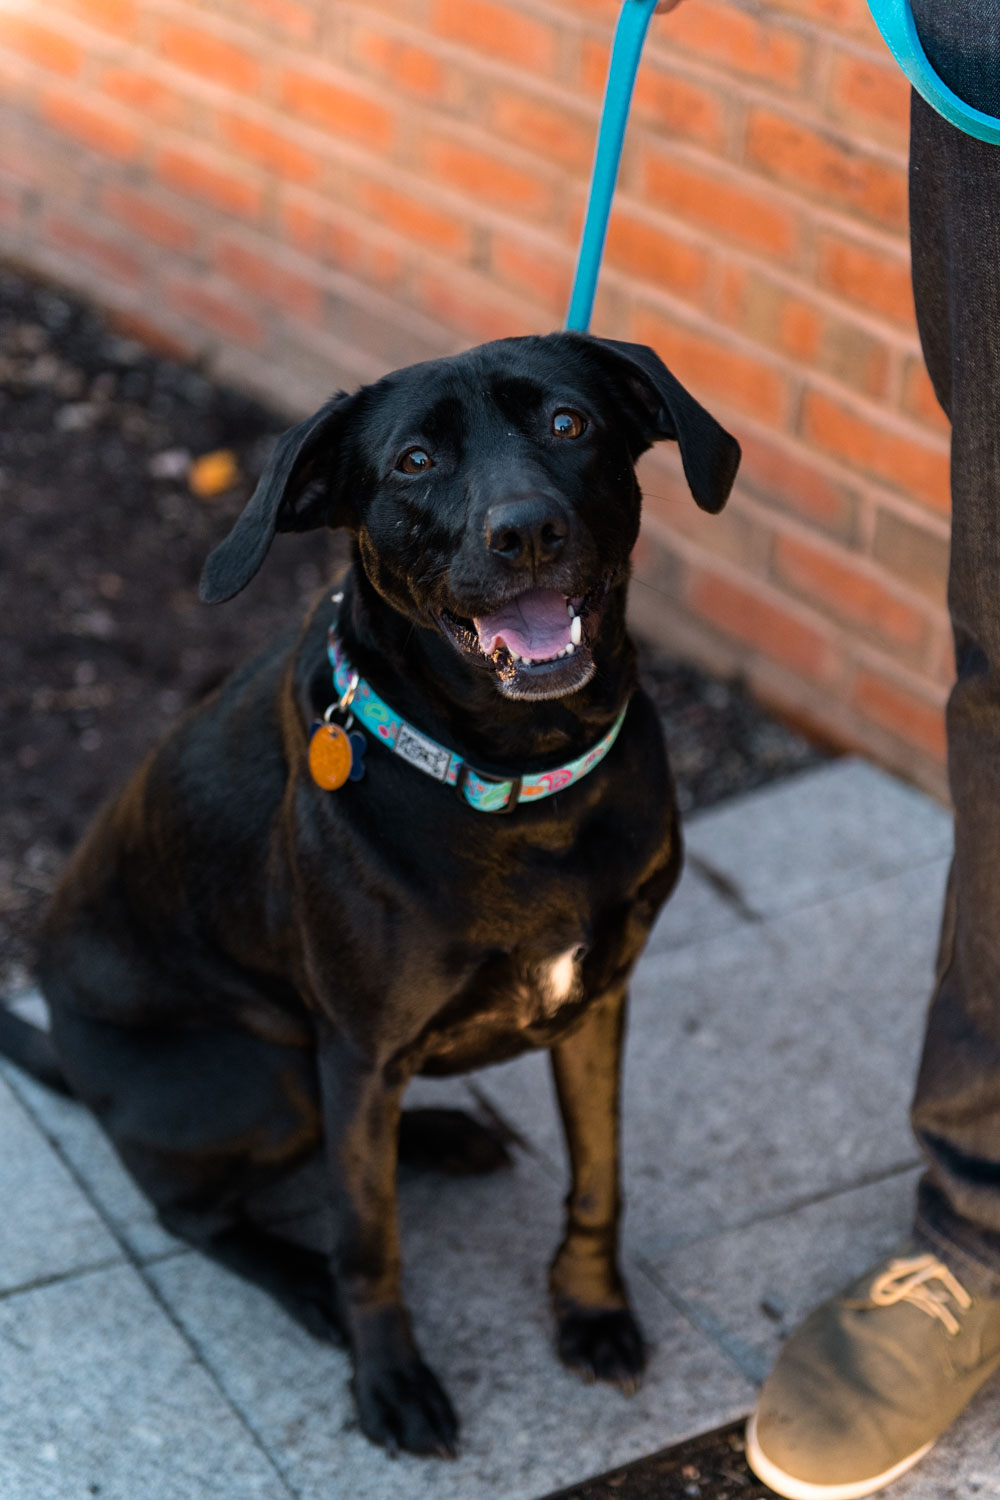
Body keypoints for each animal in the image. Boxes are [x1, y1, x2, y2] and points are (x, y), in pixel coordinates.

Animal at [0, 328, 734, 1452]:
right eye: (413, 463)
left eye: (569, 423)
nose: (526, 531)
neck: (519, 781)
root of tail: (67, 1058)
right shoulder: (355, 1040)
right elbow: (368, 1240)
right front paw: (386, 1376)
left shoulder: (596, 1001)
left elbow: (598, 1174)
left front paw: (591, 1308)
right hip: (263, 1081)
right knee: (198, 1209)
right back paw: (303, 1279)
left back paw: (438, 1134)